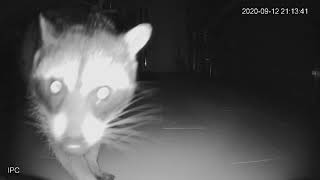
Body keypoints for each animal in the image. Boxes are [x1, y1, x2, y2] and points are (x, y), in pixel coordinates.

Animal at [22, 13, 152, 180]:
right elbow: (70, 157)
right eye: (55, 86)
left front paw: (92, 162)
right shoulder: (48, 117)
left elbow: (96, 138)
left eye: (103, 91)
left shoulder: (101, 120)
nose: (73, 145)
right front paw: (84, 172)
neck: (86, 25)